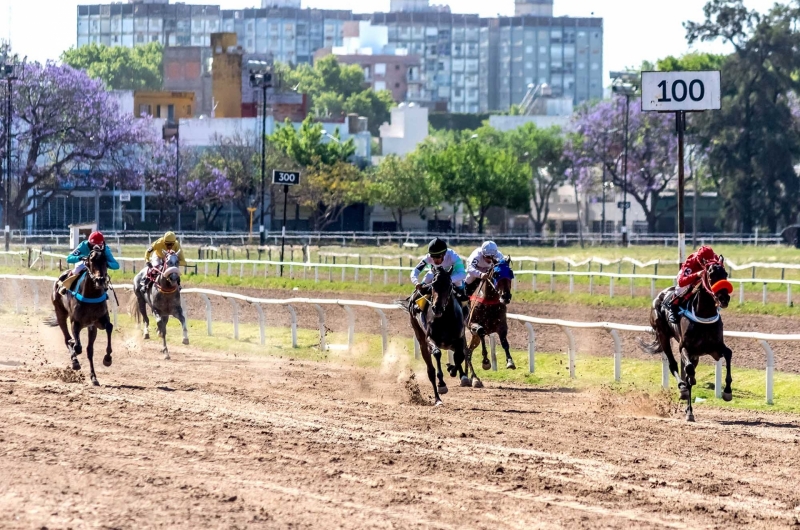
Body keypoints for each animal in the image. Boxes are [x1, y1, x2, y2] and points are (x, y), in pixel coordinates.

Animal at [50, 243, 114, 384]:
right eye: (91, 261)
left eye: (106, 261)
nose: (100, 280)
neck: (91, 294)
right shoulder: (76, 322)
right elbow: (77, 345)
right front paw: (75, 352)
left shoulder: (98, 321)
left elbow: (109, 327)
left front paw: (107, 358)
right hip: (60, 312)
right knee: (67, 338)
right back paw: (75, 361)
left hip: (91, 327)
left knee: (89, 350)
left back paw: (94, 377)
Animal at [406, 264, 468, 404]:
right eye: (433, 285)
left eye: (449, 285)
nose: (437, 308)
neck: (445, 318)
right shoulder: (430, 339)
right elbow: (437, 353)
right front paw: (442, 384)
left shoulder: (459, 338)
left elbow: (460, 356)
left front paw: (452, 370)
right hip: (421, 339)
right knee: (430, 370)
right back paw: (437, 399)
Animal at [462, 258, 520, 386]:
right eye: (496, 274)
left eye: (510, 273)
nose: (506, 296)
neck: (489, 302)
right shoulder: (472, 324)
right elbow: (481, 331)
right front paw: (486, 362)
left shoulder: (501, 326)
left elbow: (504, 342)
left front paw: (510, 362)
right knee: (466, 350)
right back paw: (471, 378)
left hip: (474, 338)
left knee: (468, 351)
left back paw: (470, 378)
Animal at [640, 258, 736, 418]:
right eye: (711, 275)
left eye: (725, 274)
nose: (724, 298)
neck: (704, 314)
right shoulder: (685, 347)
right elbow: (688, 370)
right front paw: (686, 390)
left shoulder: (715, 348)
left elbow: (728, 354)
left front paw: (727, 392)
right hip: (663, 335)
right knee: (674, 365)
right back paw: (684, 392)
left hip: (695, 354)